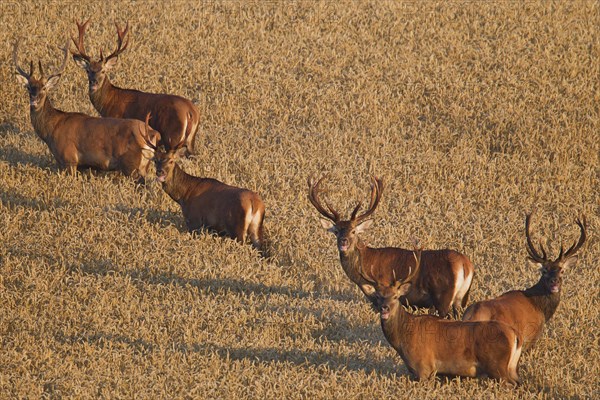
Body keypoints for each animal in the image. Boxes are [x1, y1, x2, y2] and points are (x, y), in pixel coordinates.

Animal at [13, 38, 161, 180]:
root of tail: (152, 133)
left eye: (44, 88)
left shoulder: (69, 158)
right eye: (28, 87)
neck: (51, 130)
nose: (34, 100)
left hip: (132, 164)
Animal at [70, 19, 200, 155]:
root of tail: (191, 112)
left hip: (172, 137)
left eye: (103, 71)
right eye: (88, 71)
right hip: (189, 142)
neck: (109, 102)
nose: (93, 83)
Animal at [310, 177, 474, 318]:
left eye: (353, 231)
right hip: (459, 298)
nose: (343, 242)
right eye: (336, 231)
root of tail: (465, 265)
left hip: (443, 297)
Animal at [364, 247, 524, 384]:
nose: (384, 308)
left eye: (396, 296)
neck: (403, 340)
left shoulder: (424, 368)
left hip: (498, 367)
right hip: (511, 368)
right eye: (378, 296)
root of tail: (515, 335)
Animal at [464, 212, 584, 350]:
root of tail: (472, 316)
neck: (540, 307)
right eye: (544, 271)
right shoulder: (531, 336)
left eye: (562, 271)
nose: (554, 282)